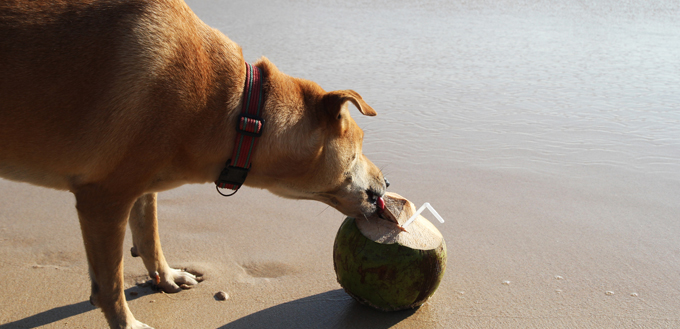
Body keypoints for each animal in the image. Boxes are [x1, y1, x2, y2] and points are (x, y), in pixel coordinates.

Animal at [0, 1, 386, 326]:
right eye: (359, 148)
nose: (387, 184)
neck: (241, 114)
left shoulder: (140, 187)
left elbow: (149, 234)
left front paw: (165, 276)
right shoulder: (103, 198)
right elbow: (109, 284)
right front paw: (126, 323)